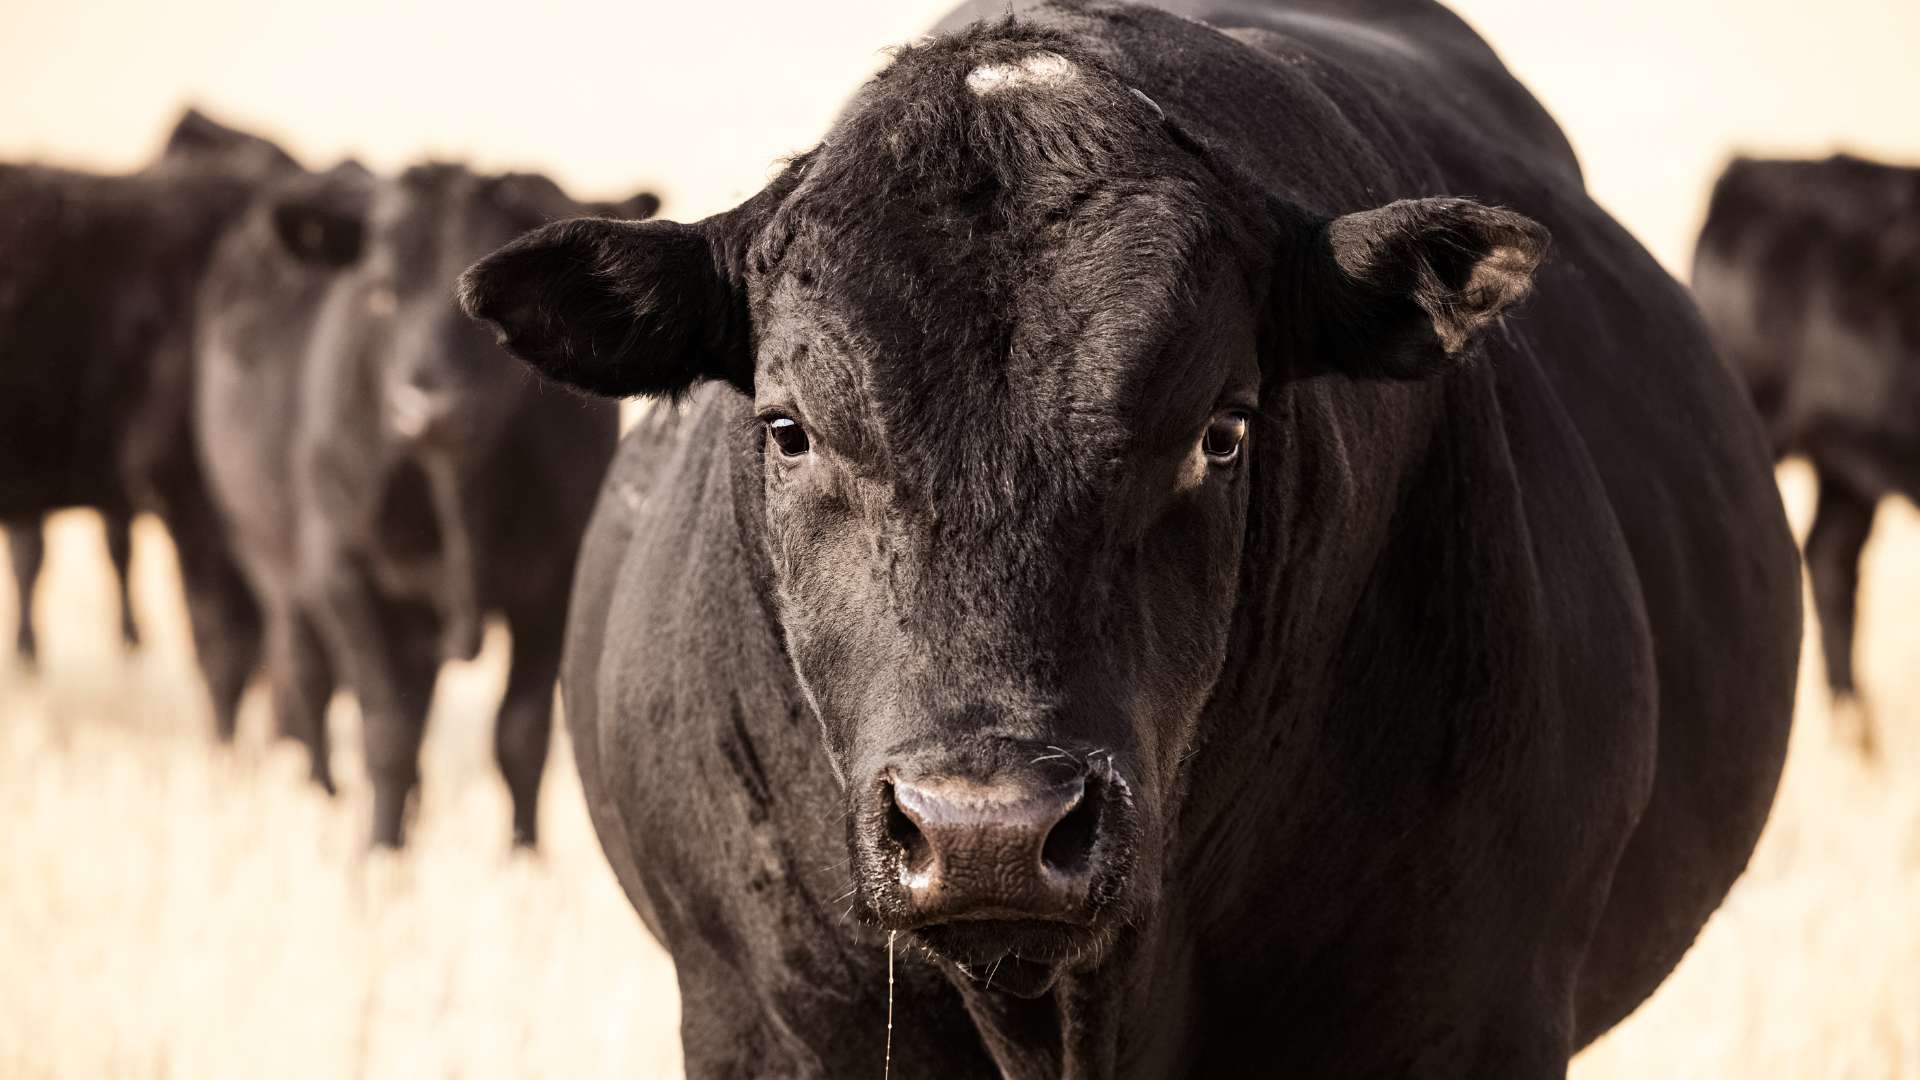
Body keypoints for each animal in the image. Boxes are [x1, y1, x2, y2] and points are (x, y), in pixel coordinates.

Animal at [196, 161, 654, 843]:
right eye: (382, 291)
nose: (432, 410)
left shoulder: (551, 586)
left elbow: (520, 737)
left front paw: (523, 855)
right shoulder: (346, 578)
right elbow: (388, 731)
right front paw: (380, 851)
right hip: (273, 568)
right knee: (305, 681)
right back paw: (324, 798)